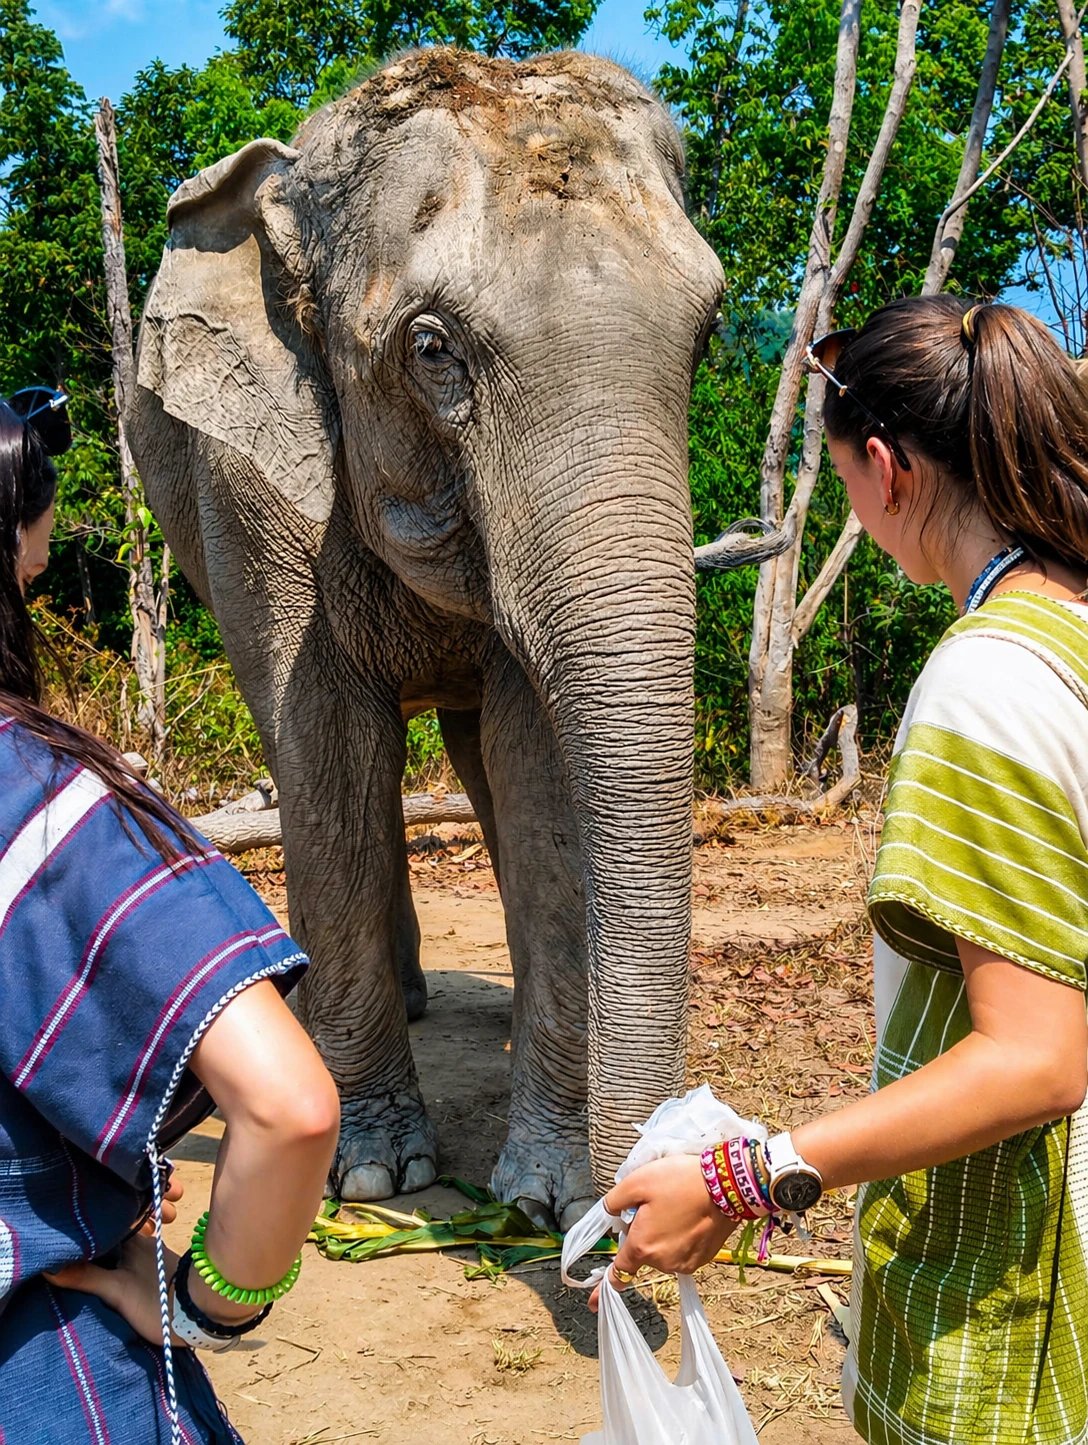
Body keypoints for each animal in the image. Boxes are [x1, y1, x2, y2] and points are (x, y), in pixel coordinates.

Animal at [129, 46, 788, 1229]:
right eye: (433, 349)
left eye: (710, 330)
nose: (630, 1210)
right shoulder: (244, 482)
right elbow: (327, 748)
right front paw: (375, 1175)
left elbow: (537, 775)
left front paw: (542, 1197)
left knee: (478, 765)